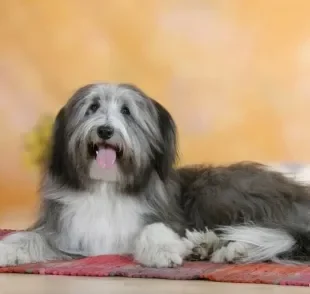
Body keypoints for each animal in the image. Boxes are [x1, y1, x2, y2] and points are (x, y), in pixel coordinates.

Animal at [1, 81, 310, 268]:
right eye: (92, 107)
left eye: (126, 111)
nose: (105, 130)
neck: (107, 187)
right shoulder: (66, 230)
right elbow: (32, 236)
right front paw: (9, 249)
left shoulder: (169, 217)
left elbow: (154, 228)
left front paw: (163, 251)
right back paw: (207, 246)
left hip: (217, 191)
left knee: (279, 231)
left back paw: (235, 249)